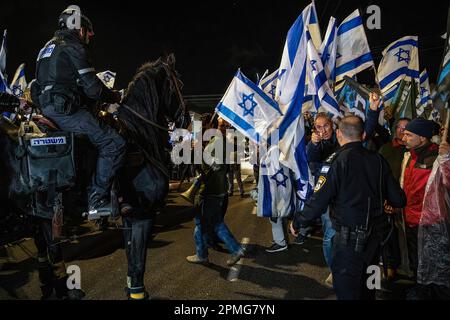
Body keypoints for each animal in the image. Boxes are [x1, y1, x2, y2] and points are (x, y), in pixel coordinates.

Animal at [0, 54, 190, 300]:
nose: (187, 121)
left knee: (48, 252)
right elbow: (139, 258)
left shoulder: (130, 214)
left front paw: (131, 287)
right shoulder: (144, 212)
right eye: (179, 84)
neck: (140, 136)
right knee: (51, 250)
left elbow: (131, 253)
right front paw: (138, 292)